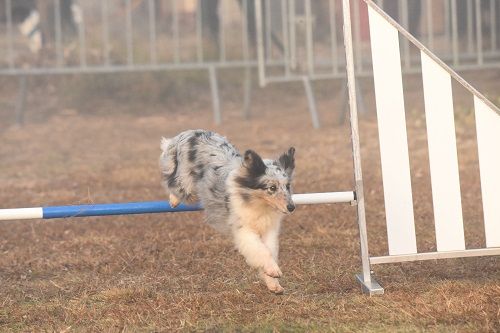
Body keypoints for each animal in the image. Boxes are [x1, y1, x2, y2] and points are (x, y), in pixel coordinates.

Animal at [158, 130, 294, 294]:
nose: (291, 207)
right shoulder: (244, 231)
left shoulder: (269, 230)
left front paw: (273, 283)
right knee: (175, 183)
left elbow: (269, 251)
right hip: (185, 178)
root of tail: (189, 132)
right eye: (272, 188)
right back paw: (174, 200)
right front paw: (273, 270)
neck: (259, 204)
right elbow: (260, 251)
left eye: (287, 186)